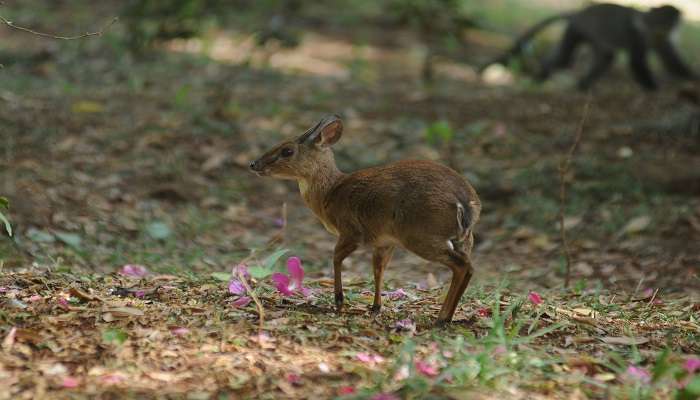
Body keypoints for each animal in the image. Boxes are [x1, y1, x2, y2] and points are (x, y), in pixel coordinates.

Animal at [252, 114, 482, 324]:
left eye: (287, 150)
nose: (254, 164)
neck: (330, 194)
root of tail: (465, 203)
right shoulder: (384, 241)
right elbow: (378, 269)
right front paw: (375, 307)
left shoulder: (351, 230)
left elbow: (336, 258)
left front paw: (339, 301)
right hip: (463, 238)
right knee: (468, 266)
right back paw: (448, 317)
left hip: (420, 233)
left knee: (462, 265)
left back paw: (442, 318)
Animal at [478, 3, 696, 90]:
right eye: (656, 22)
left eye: (668, 22)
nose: (658, 30)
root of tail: (578, 13)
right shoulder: (637, 38)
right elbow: (637, 63)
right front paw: (653, 88)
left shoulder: (663, 43)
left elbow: (673, 64)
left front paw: (693, 78)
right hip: (576, 31)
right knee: (563, 60)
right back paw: (539, 78)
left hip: (591, 39)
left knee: (603, 58)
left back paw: (582, 85)